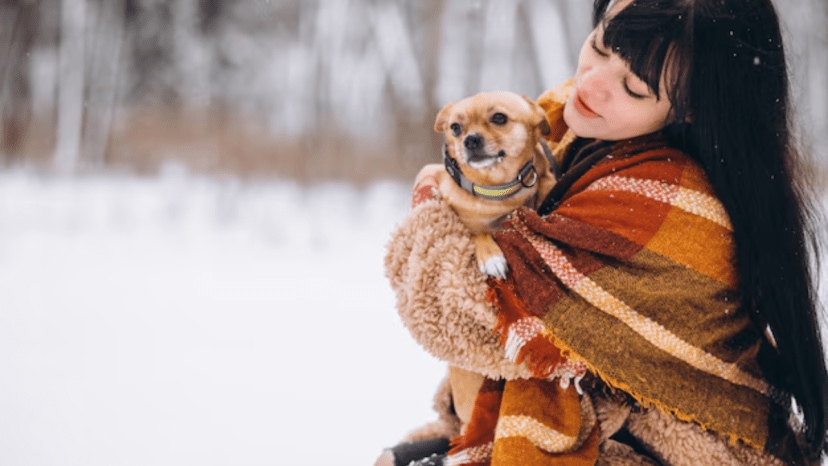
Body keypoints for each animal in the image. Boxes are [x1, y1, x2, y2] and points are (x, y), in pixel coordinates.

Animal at [424, 93, 552, 278]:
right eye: (455, 127)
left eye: (499, 117)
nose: (470, 140)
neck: (497, 189)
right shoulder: (463, 228)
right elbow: (476, 233)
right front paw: (491, 258)